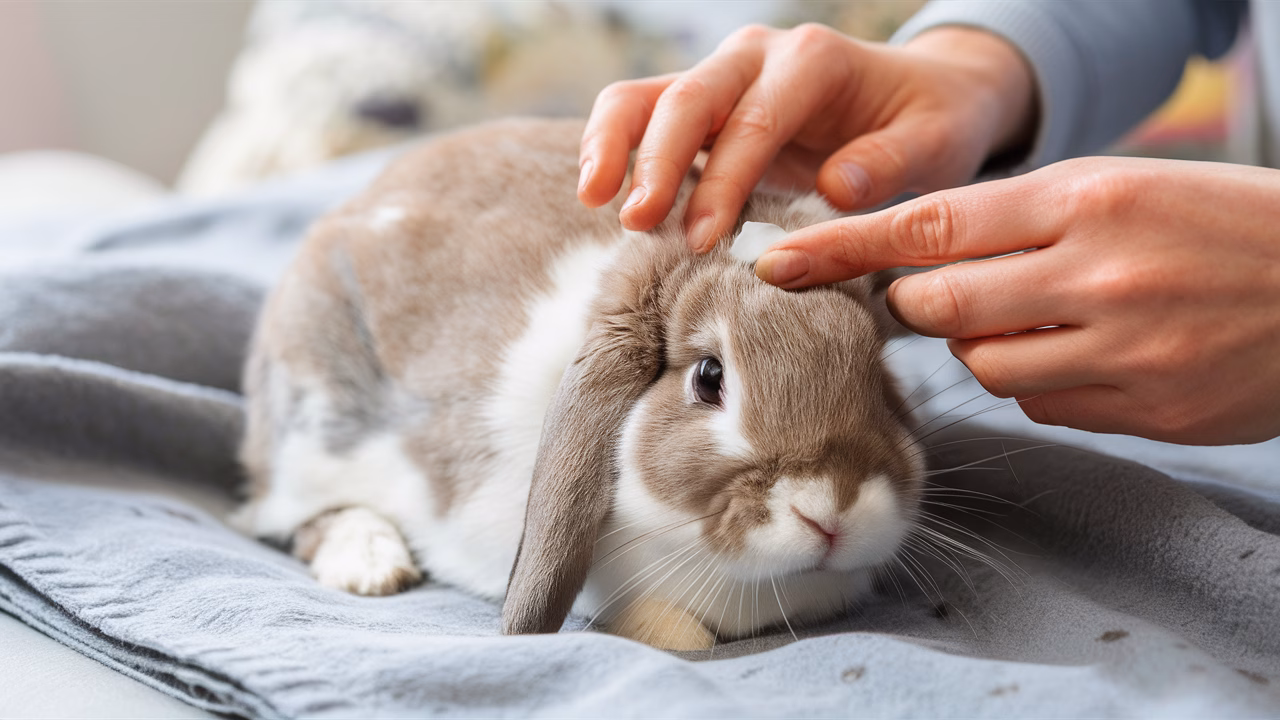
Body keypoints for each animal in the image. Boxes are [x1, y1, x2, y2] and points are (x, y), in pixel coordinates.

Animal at [233, 117, 924, 651]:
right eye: (709, 378)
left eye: (878, 372)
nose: (831, 510)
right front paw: (675, 634)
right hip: (312, 430)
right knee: (294, 516)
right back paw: (373, 568)